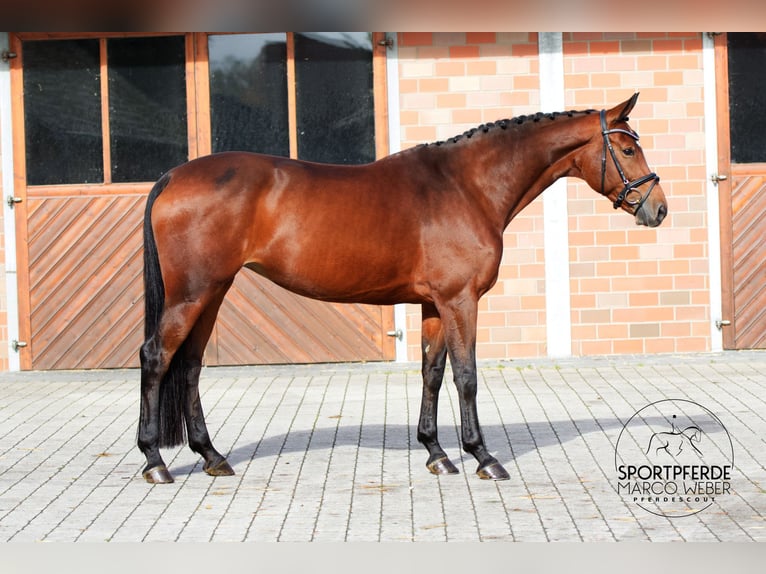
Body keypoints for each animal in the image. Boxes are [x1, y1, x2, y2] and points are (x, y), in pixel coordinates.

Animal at [138, 93, 664, 486]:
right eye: (629, 149)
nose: (657, 208)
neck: (466, 185)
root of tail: (173, 176)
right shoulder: (460, 301)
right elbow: (466, 376)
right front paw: (482, 457)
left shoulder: (434, 304)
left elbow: (432, 373)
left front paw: (437, 453)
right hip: (192, 294)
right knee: (156, 357)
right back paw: (155, 462)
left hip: (211, 292)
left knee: (190, 365)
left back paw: (212, 456)